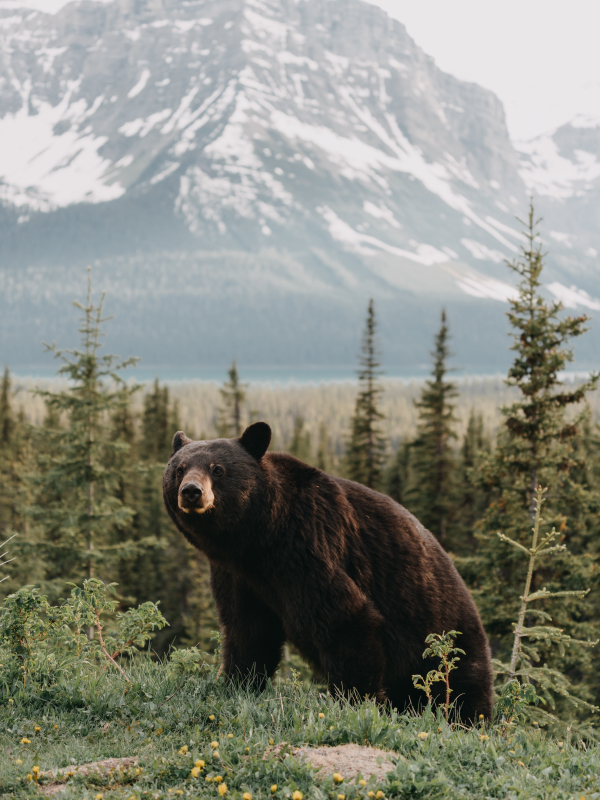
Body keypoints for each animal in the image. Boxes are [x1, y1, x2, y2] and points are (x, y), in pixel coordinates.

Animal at [162, 422, 493, 722]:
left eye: (218, 469)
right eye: (179, 469)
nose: (191, 492)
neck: (258, 540)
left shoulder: (309, 547)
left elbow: (346, 620)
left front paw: (354, 701)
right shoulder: (237, 575)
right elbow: (247, 630)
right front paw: (237, 683)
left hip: (445, 640)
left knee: (462, 689)